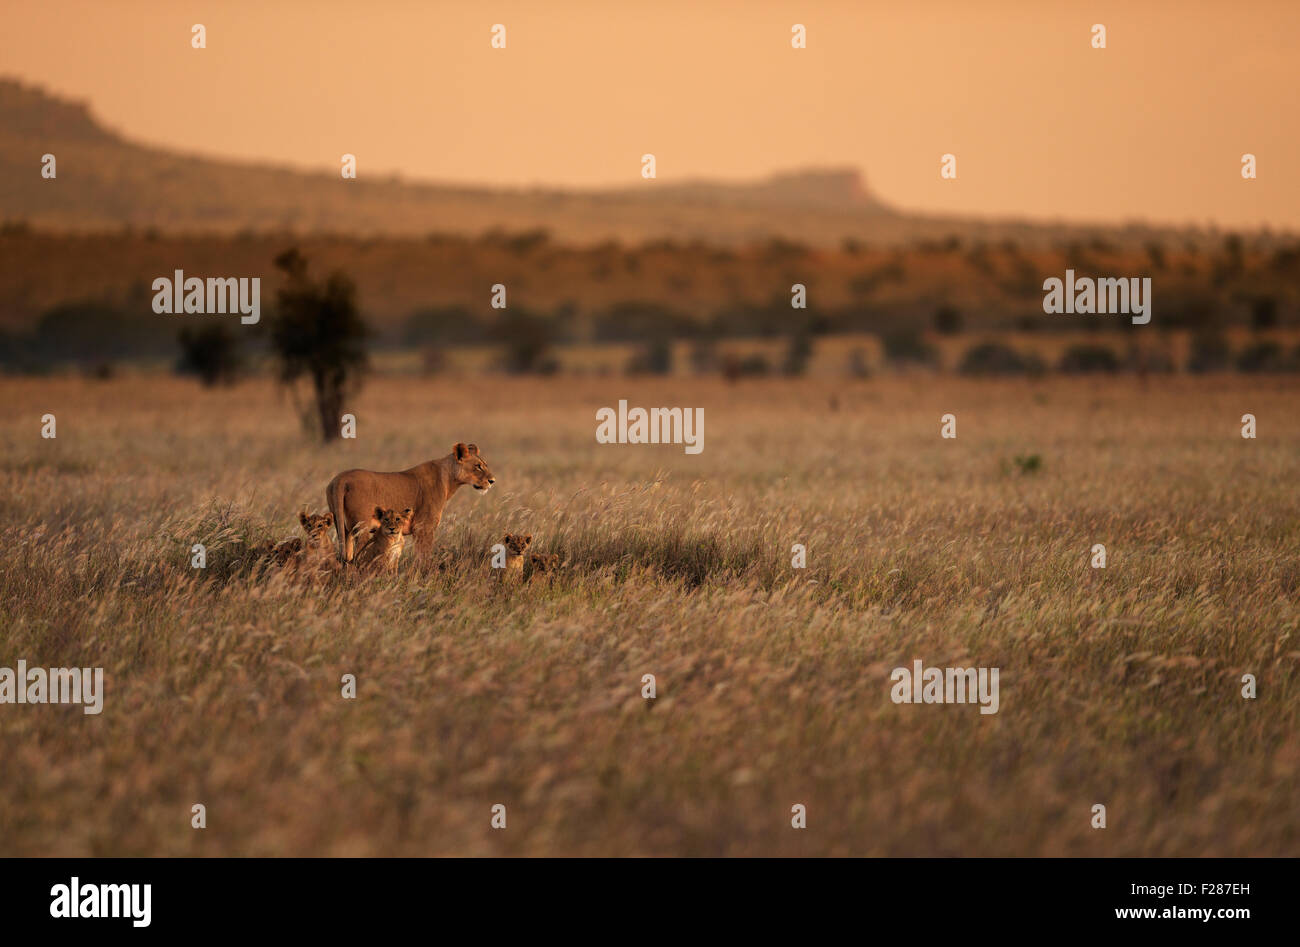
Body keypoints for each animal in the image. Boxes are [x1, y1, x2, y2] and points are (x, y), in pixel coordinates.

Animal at [326, 443, 495, 564]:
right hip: (363, 529)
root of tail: (340, 479)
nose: (492, 481)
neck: (448, 479)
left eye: (485, 464)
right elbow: (424, 558)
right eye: (478, 466)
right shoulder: (424, 527)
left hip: (343, 528)